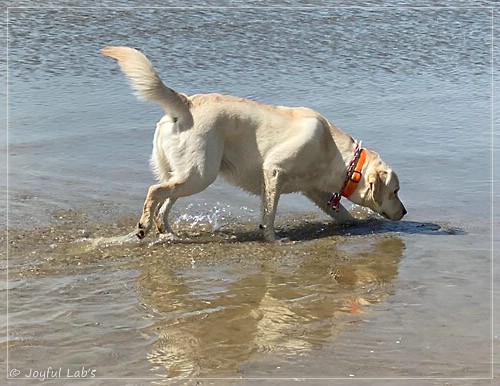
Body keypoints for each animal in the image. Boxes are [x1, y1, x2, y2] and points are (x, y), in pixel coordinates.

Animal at [100, 46, 406, 240]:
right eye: (395, 191)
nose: (404, 211)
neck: (338, 156)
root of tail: (185, 104)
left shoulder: (315, 191)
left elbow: (342, 213)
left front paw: (356, 225)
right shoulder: (273, 170)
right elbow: (269, 213)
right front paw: (272, 239)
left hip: (184, 172)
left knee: (164, 203)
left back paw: (169, 233)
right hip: (200, 173)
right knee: (154, 192)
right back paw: (143, 227)